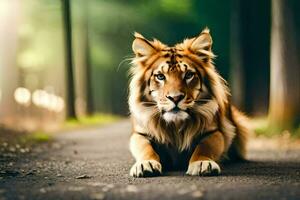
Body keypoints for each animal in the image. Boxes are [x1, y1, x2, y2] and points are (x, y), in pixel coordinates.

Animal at [127, 27, 250, 177]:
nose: (175, 98)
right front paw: (146, 164)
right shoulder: (140, 134)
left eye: (188, 75)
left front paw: (202, 163)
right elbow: (145, 148)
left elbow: (204, 147)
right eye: (160, 76)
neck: (176, 125)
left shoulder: (215, 132)